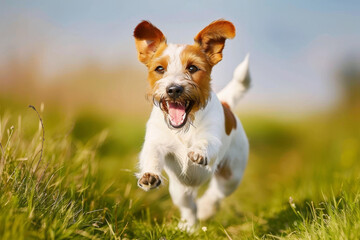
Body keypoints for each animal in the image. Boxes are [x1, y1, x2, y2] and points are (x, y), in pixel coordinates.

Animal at [133, 19, 250, 231]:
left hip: (231, 176)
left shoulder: (212, 136)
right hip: (180, 190)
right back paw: (189, 226)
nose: (173, 89)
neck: (184, 129)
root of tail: (227, 103)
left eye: (193, 68)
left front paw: (198, 151)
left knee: (215, 195)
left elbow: (205, 143)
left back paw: (205, 209)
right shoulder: (156, 142)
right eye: (160, 69)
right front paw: (149, 175)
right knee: (189, 207)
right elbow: (152, 155)